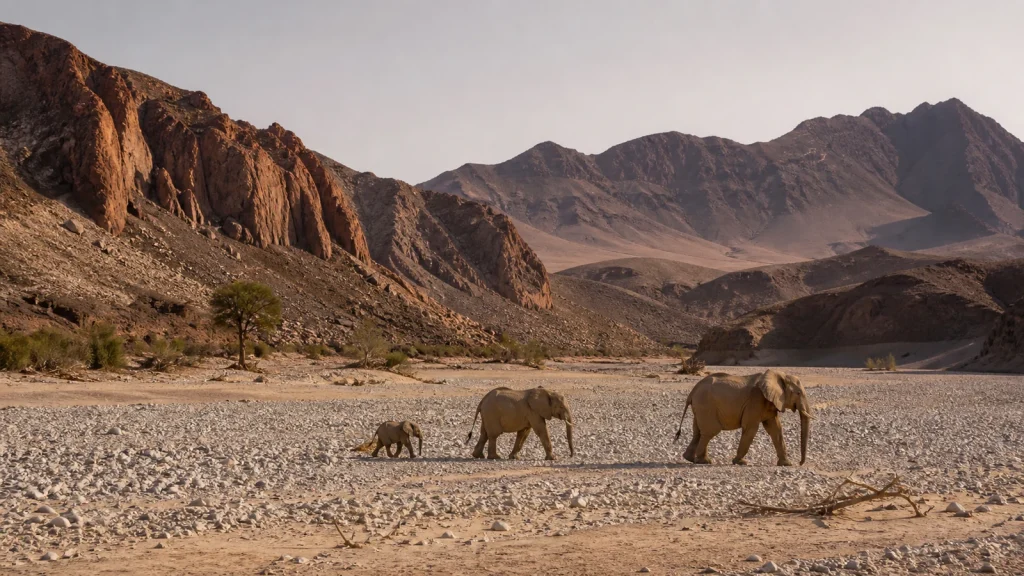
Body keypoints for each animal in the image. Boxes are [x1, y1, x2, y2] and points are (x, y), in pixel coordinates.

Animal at [674, 370, 811, 466]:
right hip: (706, 405)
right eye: (798, 393)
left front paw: (786, 464)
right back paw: (704, 461)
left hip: (700, 407)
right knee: (709, 432)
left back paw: (689, 458)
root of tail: (693, 391)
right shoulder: (755, 401)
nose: (800, 463)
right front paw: (740, 462)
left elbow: (775, 429)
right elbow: (751, 428)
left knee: (697, 432)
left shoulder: (768, 403)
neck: (779, 375)